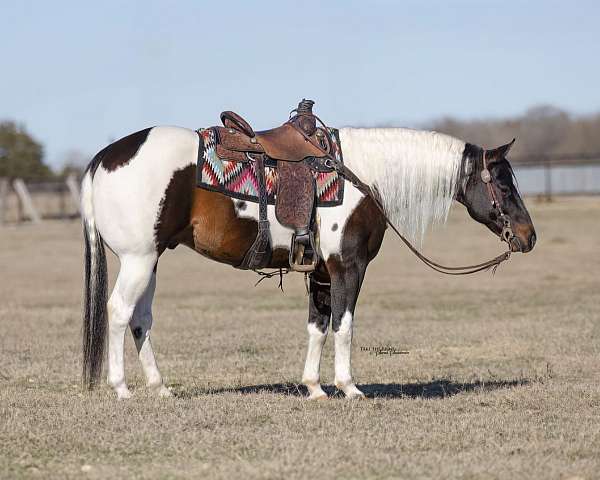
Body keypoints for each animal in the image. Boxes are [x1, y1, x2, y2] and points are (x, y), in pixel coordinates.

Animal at [79, 111, 536, 398]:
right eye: (503, 183)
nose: (529, 237)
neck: (362, 176)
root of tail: (103, 157)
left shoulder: (319, 272)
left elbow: (317, 326)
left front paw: (315, 387)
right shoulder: (347, 267)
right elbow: (344, 325)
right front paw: (349, 387)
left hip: (149, 261)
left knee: (140, 319)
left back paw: (160, 388)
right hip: (138, 259)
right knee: (118, 312)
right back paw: (121, 389)